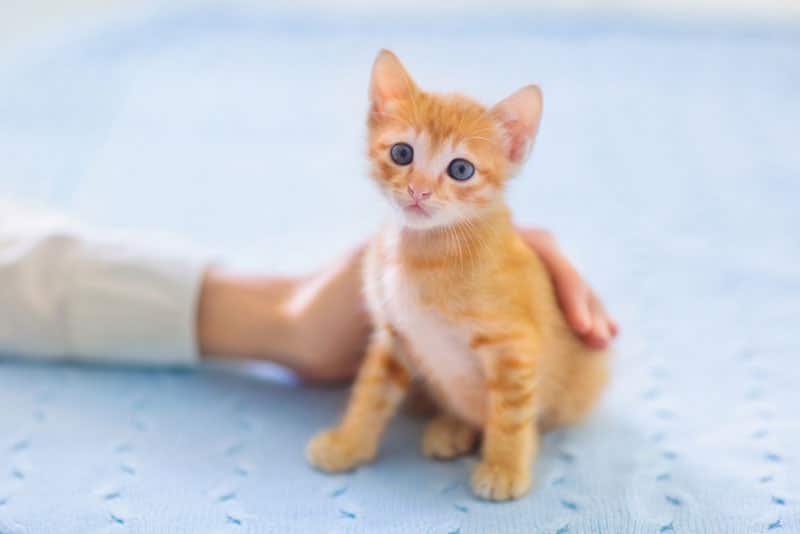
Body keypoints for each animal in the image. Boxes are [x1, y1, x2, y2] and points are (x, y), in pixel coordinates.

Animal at [306, 49, 608, 502]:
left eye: (461, 170)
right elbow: (371, 393)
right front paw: (348, 443)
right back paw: (451, 426)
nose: (419, 191)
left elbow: (510, 415)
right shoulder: (393, 334)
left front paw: (504, 468)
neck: (425, 254)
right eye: (402, 154)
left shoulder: (514, 346)